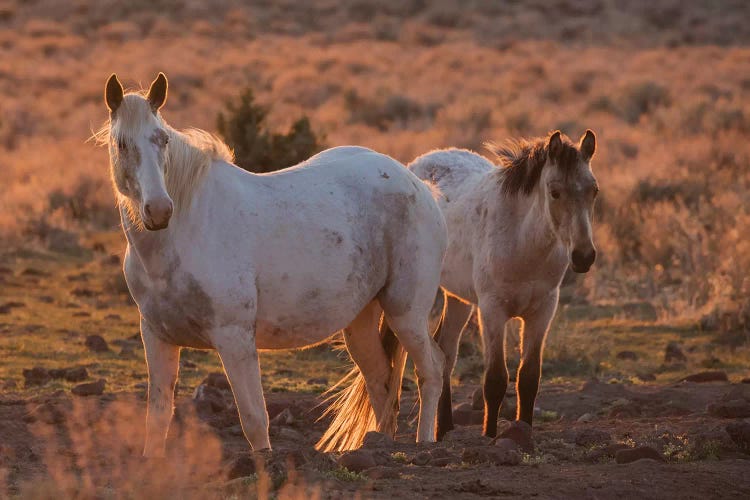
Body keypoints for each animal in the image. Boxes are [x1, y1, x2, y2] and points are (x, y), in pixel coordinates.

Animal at [94, 72, 446, 456]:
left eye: (163, 140)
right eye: (122, 144)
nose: (159, 211)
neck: (184, 232)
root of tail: (419, 186)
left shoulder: (234, 338)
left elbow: (253, 419)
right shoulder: (157, 337)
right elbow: (158, 419)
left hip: (406, 312)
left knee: (430, 371)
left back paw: (424, 444)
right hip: (361, 320)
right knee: (381, 382)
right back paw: (378, 445)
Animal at [408, 131, 604, 440]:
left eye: (593, 191)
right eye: (555, 192)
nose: (583, 256)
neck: (522, 243)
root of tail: (421, 161)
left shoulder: (542, 311)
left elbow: (529, 378)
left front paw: (524, 431)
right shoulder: (492, 311)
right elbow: (496, 380)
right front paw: (489, 436)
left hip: (458, 298)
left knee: (446, 351)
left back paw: (446, 428)